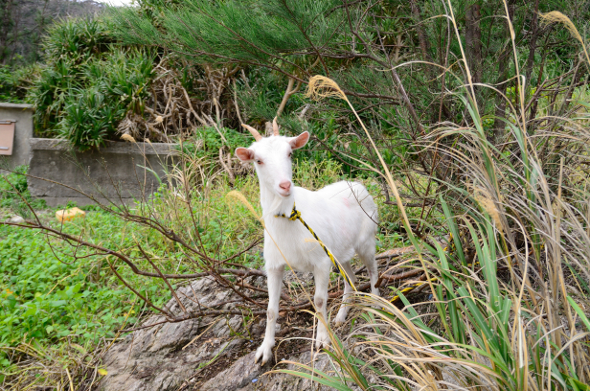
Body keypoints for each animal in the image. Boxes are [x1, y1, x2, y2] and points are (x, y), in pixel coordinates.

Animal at [236, 119, 380, 364]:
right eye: (258, 160)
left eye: (290, 153)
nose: (285, 186)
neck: (290, 218)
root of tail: (358, 185)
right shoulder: (274, 265)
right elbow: (270, 310)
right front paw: (265, 350)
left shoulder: (321, 261)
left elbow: (319, 300)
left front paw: (322, 340)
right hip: (340, 252)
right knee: (350, 279)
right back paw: (341, 315)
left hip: (366, 241)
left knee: (372, 271)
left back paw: (379, 305)